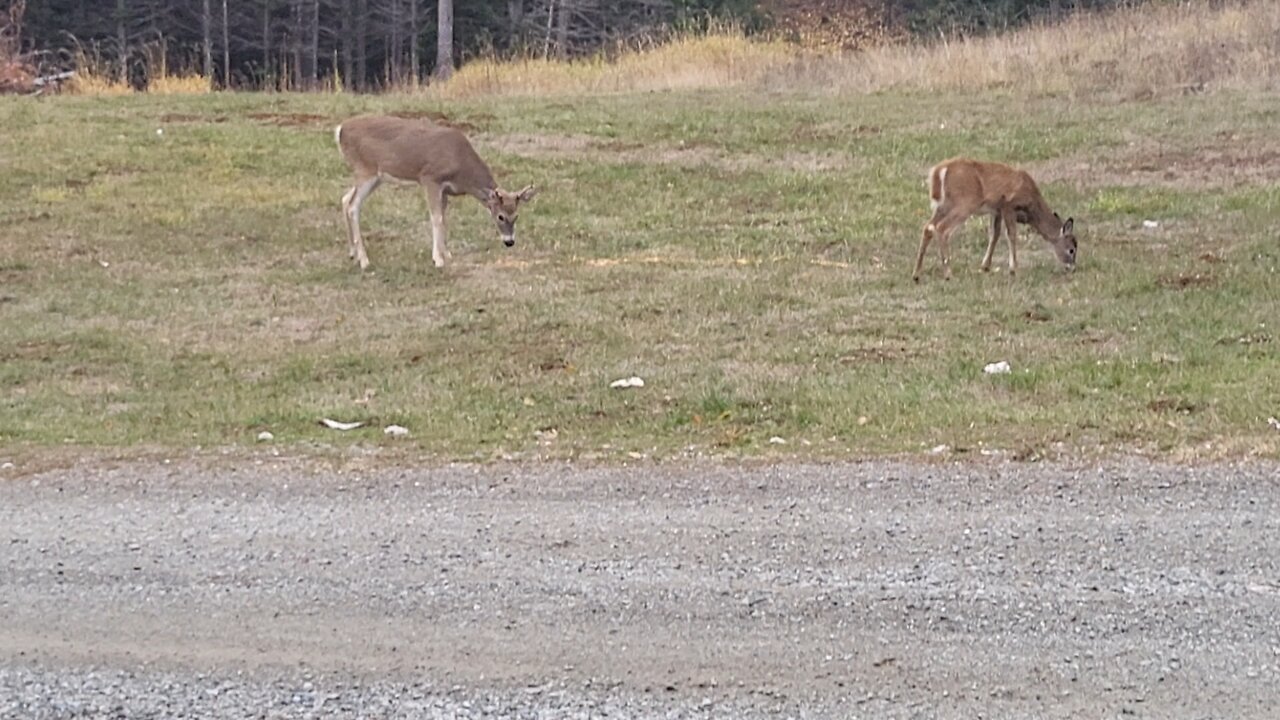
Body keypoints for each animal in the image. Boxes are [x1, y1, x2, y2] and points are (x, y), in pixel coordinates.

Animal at [334, 114, 538, 271]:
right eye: (500, 216)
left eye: (517, 215)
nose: (509, 242)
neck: (462, 168)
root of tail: (340, 130)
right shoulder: (430, 178)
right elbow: (436, 218)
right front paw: (438, 259)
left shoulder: (445, 190)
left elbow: (444, 219)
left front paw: (446, 253)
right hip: (365, 169)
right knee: (353, 206)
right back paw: (364, 260)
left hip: (375, 177)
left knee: (345, 199)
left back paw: (352, 253)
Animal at [913, 157, 1077, 283]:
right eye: (1072, 250)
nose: (1073, 268)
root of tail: (940, 170)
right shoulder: (1008, 205)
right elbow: (1011, 234)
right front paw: (1014, 269)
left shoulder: (996, 210)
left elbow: (994, 234)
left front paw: (985, 266)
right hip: (964, 204)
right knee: (942, 228)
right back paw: (948, 274)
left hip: (942, 206)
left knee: (928, 227)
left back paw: (916, 274)